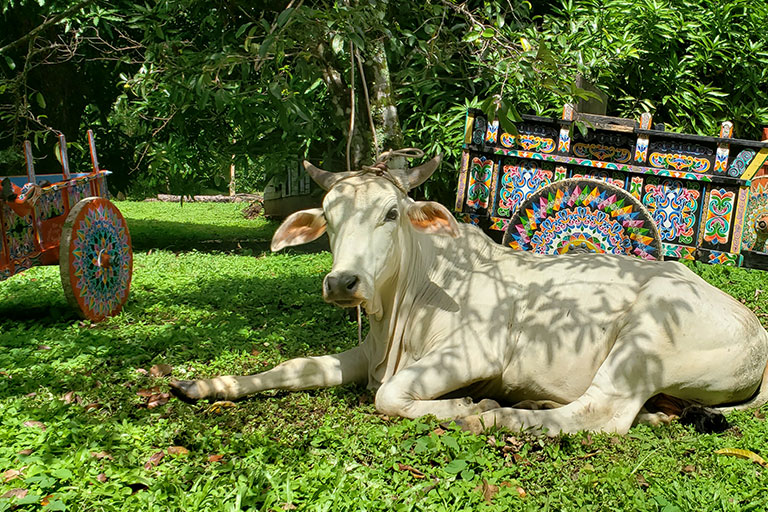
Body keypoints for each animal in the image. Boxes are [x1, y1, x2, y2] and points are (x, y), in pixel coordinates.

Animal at [170, 154, 768, 435]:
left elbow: (391, 397)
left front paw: (465, 404)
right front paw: (202, 385)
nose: (343, 283)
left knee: (600, 414)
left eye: (391, 213)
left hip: (642, 343)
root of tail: (753, 326)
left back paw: (496, 415)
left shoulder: (474, 354)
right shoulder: (366, 354)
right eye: (330, 217)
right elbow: (292, 367)